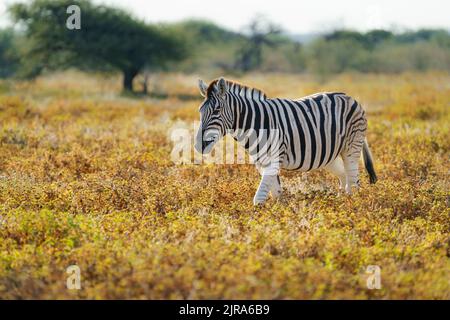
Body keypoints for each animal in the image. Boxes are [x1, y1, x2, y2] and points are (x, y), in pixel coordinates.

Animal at [193, 77, 376, 205]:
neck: (256, 124)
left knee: (354, 181)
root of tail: (350, 97)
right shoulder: (261, 162)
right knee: (344, 176)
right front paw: (278, 220)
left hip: (351, 147)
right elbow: (276, 194)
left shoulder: (274, 158)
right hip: (328, 154)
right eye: (200, 111)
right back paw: (340, 204)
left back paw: (352, 206)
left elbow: (258, 199)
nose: (199, 145)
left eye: (217, 111)